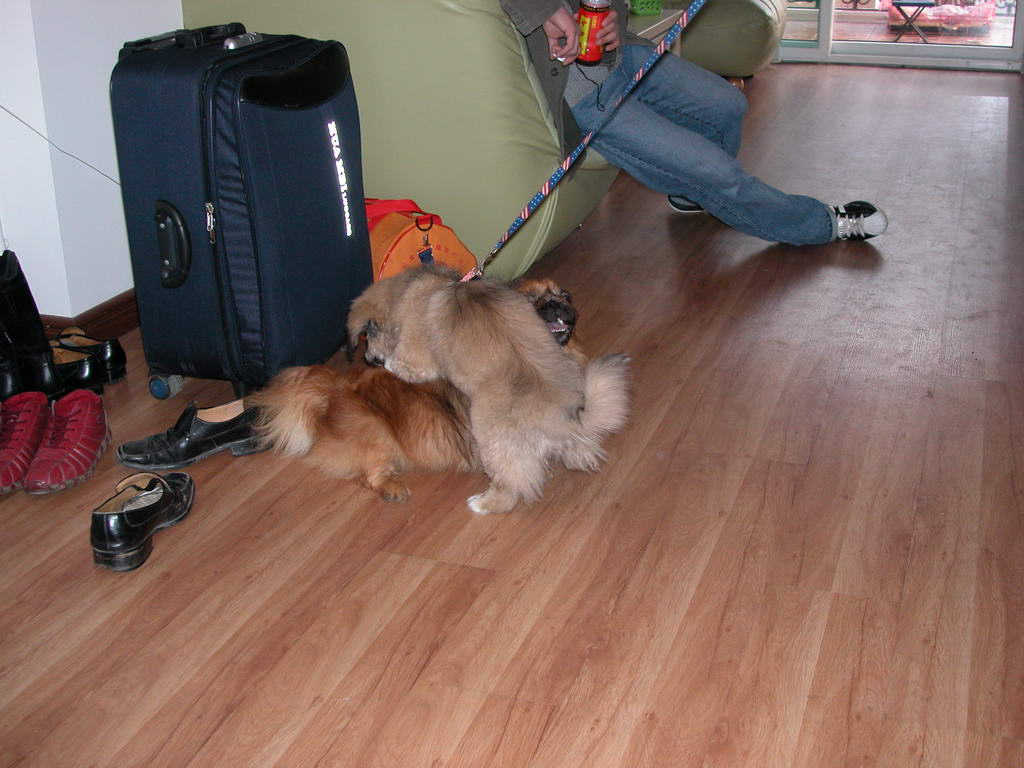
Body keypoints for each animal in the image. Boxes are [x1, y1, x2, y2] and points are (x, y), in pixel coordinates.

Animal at [252, 276, 629, 512]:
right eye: (533, 301)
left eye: (565, 295)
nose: (557, 305)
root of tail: (328, 389)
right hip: (376, 433)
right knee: (373, 471)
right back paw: (401, 490)